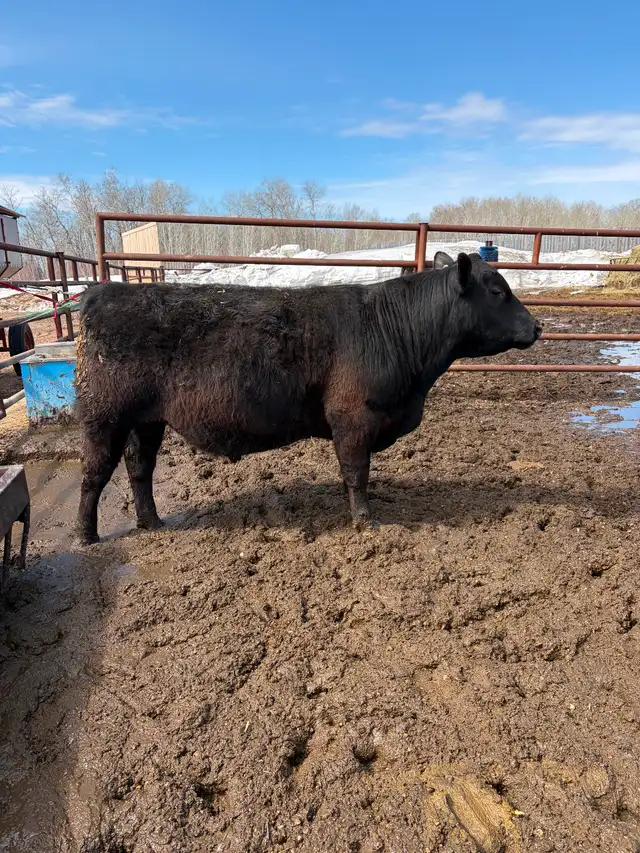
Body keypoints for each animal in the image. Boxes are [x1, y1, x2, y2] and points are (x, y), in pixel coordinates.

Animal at [74, 251, 542, 544]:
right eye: (498, 292)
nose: (537, 326)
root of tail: (102, 292)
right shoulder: (352, 418)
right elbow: (356, 474)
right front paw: (365, 523)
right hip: (104, 416)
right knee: (95, 474)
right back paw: (86, 535)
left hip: (147, 420)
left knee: (139, 468)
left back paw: (152, 522)